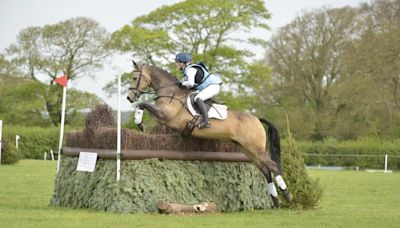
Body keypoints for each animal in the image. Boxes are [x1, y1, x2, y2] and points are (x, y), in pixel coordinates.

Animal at [128, 61, 294, 208]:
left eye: (135, 78)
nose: (129, 98)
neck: (171, 93)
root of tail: (257, 119)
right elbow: (144, 105)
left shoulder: (165, 116)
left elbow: (142, 104)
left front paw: (139, 122)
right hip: (247, 150)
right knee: (266, 171)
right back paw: (275, 200)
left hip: (255, 148)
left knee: (272, 166)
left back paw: (287, 195)